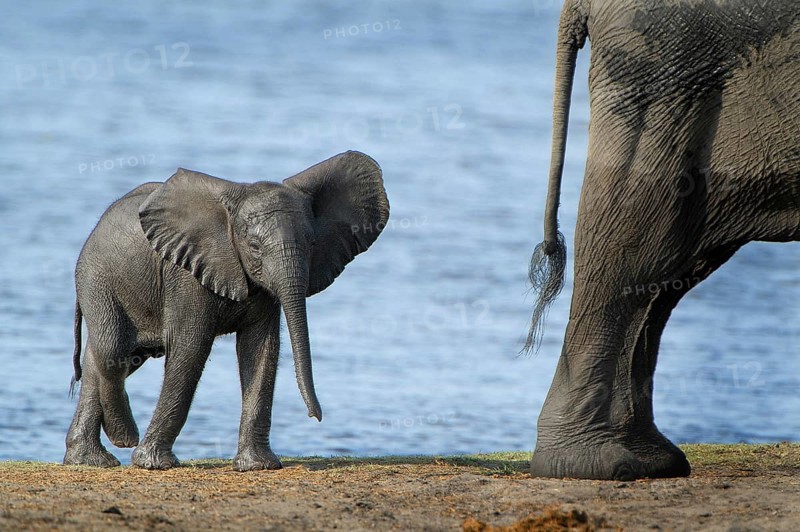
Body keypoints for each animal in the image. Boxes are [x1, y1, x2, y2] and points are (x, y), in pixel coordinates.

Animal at [64, 151, 389, 470]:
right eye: (254, 247)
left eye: (311, 242)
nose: (316, 417)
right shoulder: (185, 274)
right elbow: (191, 348)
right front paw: (153, 464)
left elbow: (261, 349)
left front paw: (257, 466)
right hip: (97, 279)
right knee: (113, 349)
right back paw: (122, 440)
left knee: (105, 359)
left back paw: (89, 460)